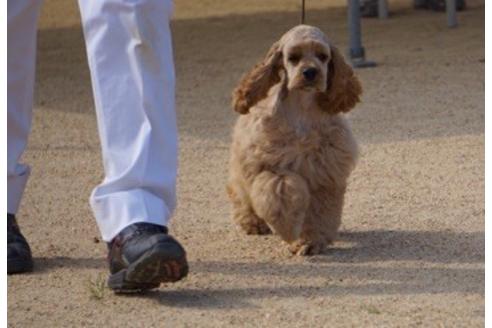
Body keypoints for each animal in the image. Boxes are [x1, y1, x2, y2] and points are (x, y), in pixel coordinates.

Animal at [227, 26, 362, 256]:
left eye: (323, 56)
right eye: (293, 57)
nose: (310, 72)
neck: (302, 107)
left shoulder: (325, 170)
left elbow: (319, 211)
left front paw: (310, 241)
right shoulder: (272, 163)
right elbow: (278, 191)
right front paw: (288, 229)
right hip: (242, 165)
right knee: (238, 191)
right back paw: (253, 222)